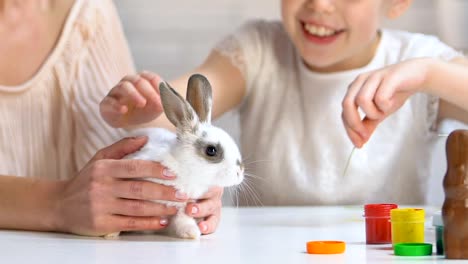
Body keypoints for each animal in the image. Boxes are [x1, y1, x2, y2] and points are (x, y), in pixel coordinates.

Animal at [106, 74, 245, 239]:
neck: (185, 169)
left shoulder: (183, 206)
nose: (240, 172)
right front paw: (111, 234)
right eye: (211, 150)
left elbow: (183, 220)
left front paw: (192, 234)